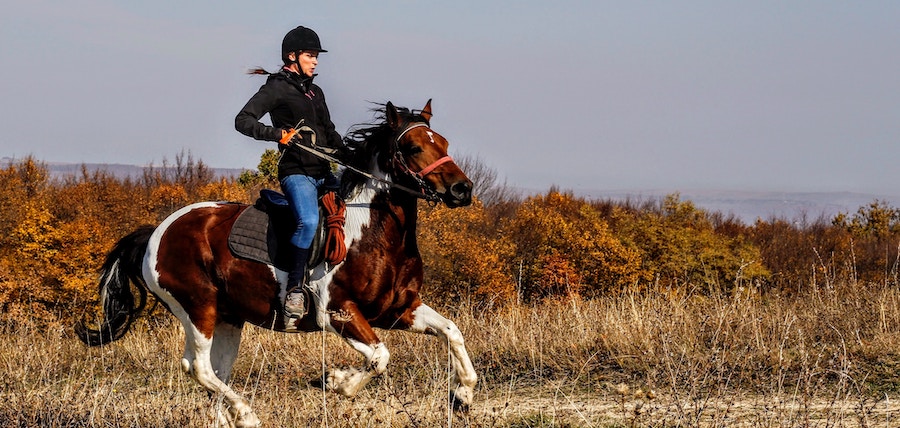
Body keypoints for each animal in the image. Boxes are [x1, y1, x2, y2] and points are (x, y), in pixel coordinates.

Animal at [76, 100, 477, 428]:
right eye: (413, 147)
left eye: (443, 143)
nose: (462, 190)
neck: (372, 231)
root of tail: (156, 232)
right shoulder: (337, 313)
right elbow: (380, 356)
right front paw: (335, 381)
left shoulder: (399, 309)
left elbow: (452, 331)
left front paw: (463, 396)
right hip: (197, 307)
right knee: (199, 367)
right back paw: (247, 415)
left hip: (228, 317)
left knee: (215, 372)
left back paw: (230, 417)